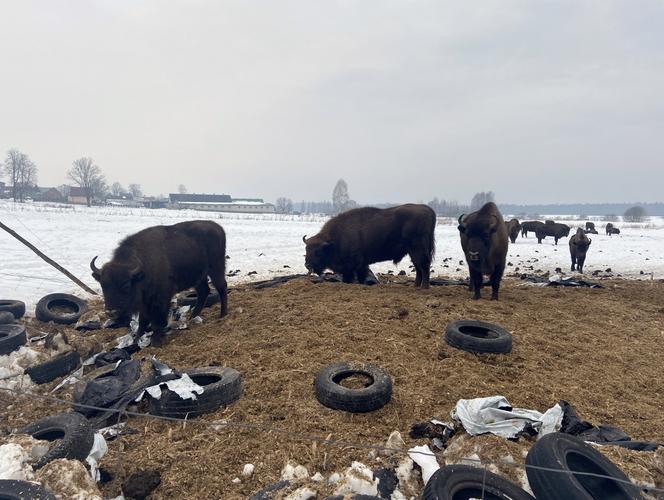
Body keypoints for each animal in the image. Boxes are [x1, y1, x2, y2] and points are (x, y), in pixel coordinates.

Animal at [90, 221, 228, 342]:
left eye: (126, 285)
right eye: (103, 285)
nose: (111, 312)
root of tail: (218, 228)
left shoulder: (161, 298)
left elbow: (157, 320)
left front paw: (156, 341)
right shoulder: (144, 302)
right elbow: (142, 321)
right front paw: (137, 338)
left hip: (216, 268)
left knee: (222, 288)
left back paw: (223, 315)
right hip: (199, 277)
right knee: (204, 291)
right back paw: (192, 317)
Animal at [300, 203, 436, 288]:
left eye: (318, 251)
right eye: (306, 249)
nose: (308, 265)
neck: (333, 241)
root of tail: (428, 210)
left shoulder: (356, 265)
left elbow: (356, 276)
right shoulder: (355, 266)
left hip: (418, 249)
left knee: (424, 265)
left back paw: (424, 287)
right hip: (412, 252)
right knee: (418, 266)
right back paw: (415, 286)